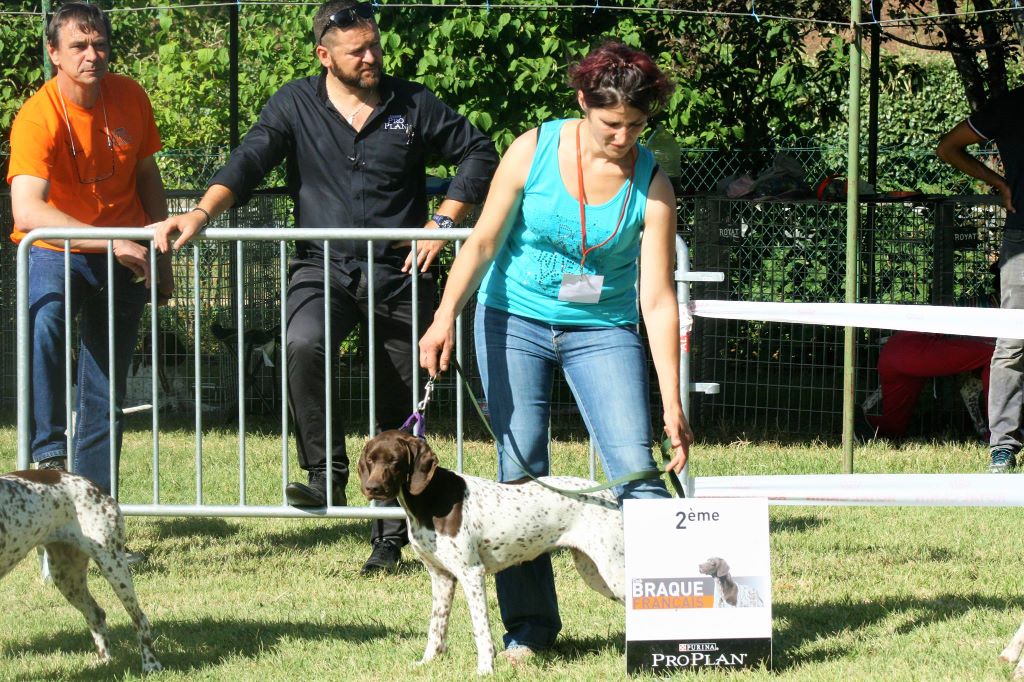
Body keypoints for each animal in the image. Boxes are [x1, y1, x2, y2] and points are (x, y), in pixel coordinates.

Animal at [0, 470, 161, 672]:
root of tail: (94, 485)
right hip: (67, 576)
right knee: (96, 614)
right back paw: (104, 661)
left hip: (114, 566)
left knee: (140, 620)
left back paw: (151, 664)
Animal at [358, 429, 625, 674]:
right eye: (370, 460)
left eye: (394, 460)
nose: (373, 488)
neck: (429, 500)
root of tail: (608, 494)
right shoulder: (441, 576)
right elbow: (436, 626)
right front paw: (428, 662)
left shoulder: (471, 574)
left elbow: (481, 628)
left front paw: (485, 669)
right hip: (593, 572)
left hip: (611, 570)